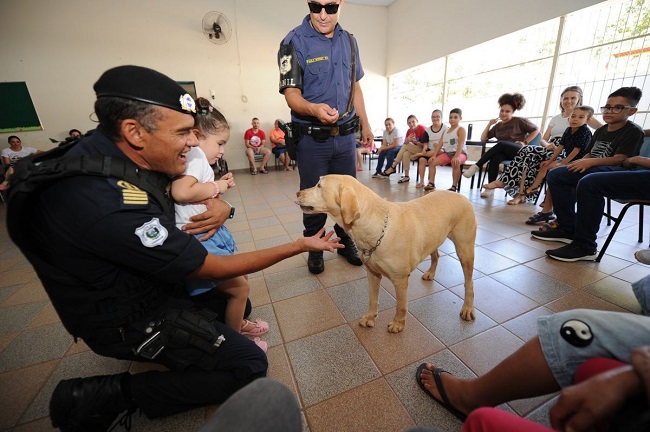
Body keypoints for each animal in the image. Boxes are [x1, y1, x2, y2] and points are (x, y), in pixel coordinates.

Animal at [294, 174, 476, 332]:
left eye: (319, 185)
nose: (297, 192)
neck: (376, 227)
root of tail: (460, 195)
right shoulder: (372, 274)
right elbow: (373, 299)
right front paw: (370, 318)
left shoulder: (400, 280)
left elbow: (401, 305)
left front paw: (398, 324)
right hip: (434, 239)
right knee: (436, 255)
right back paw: (431, 273)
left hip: (465, 250)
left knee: (469, 283)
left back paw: (467, 308)